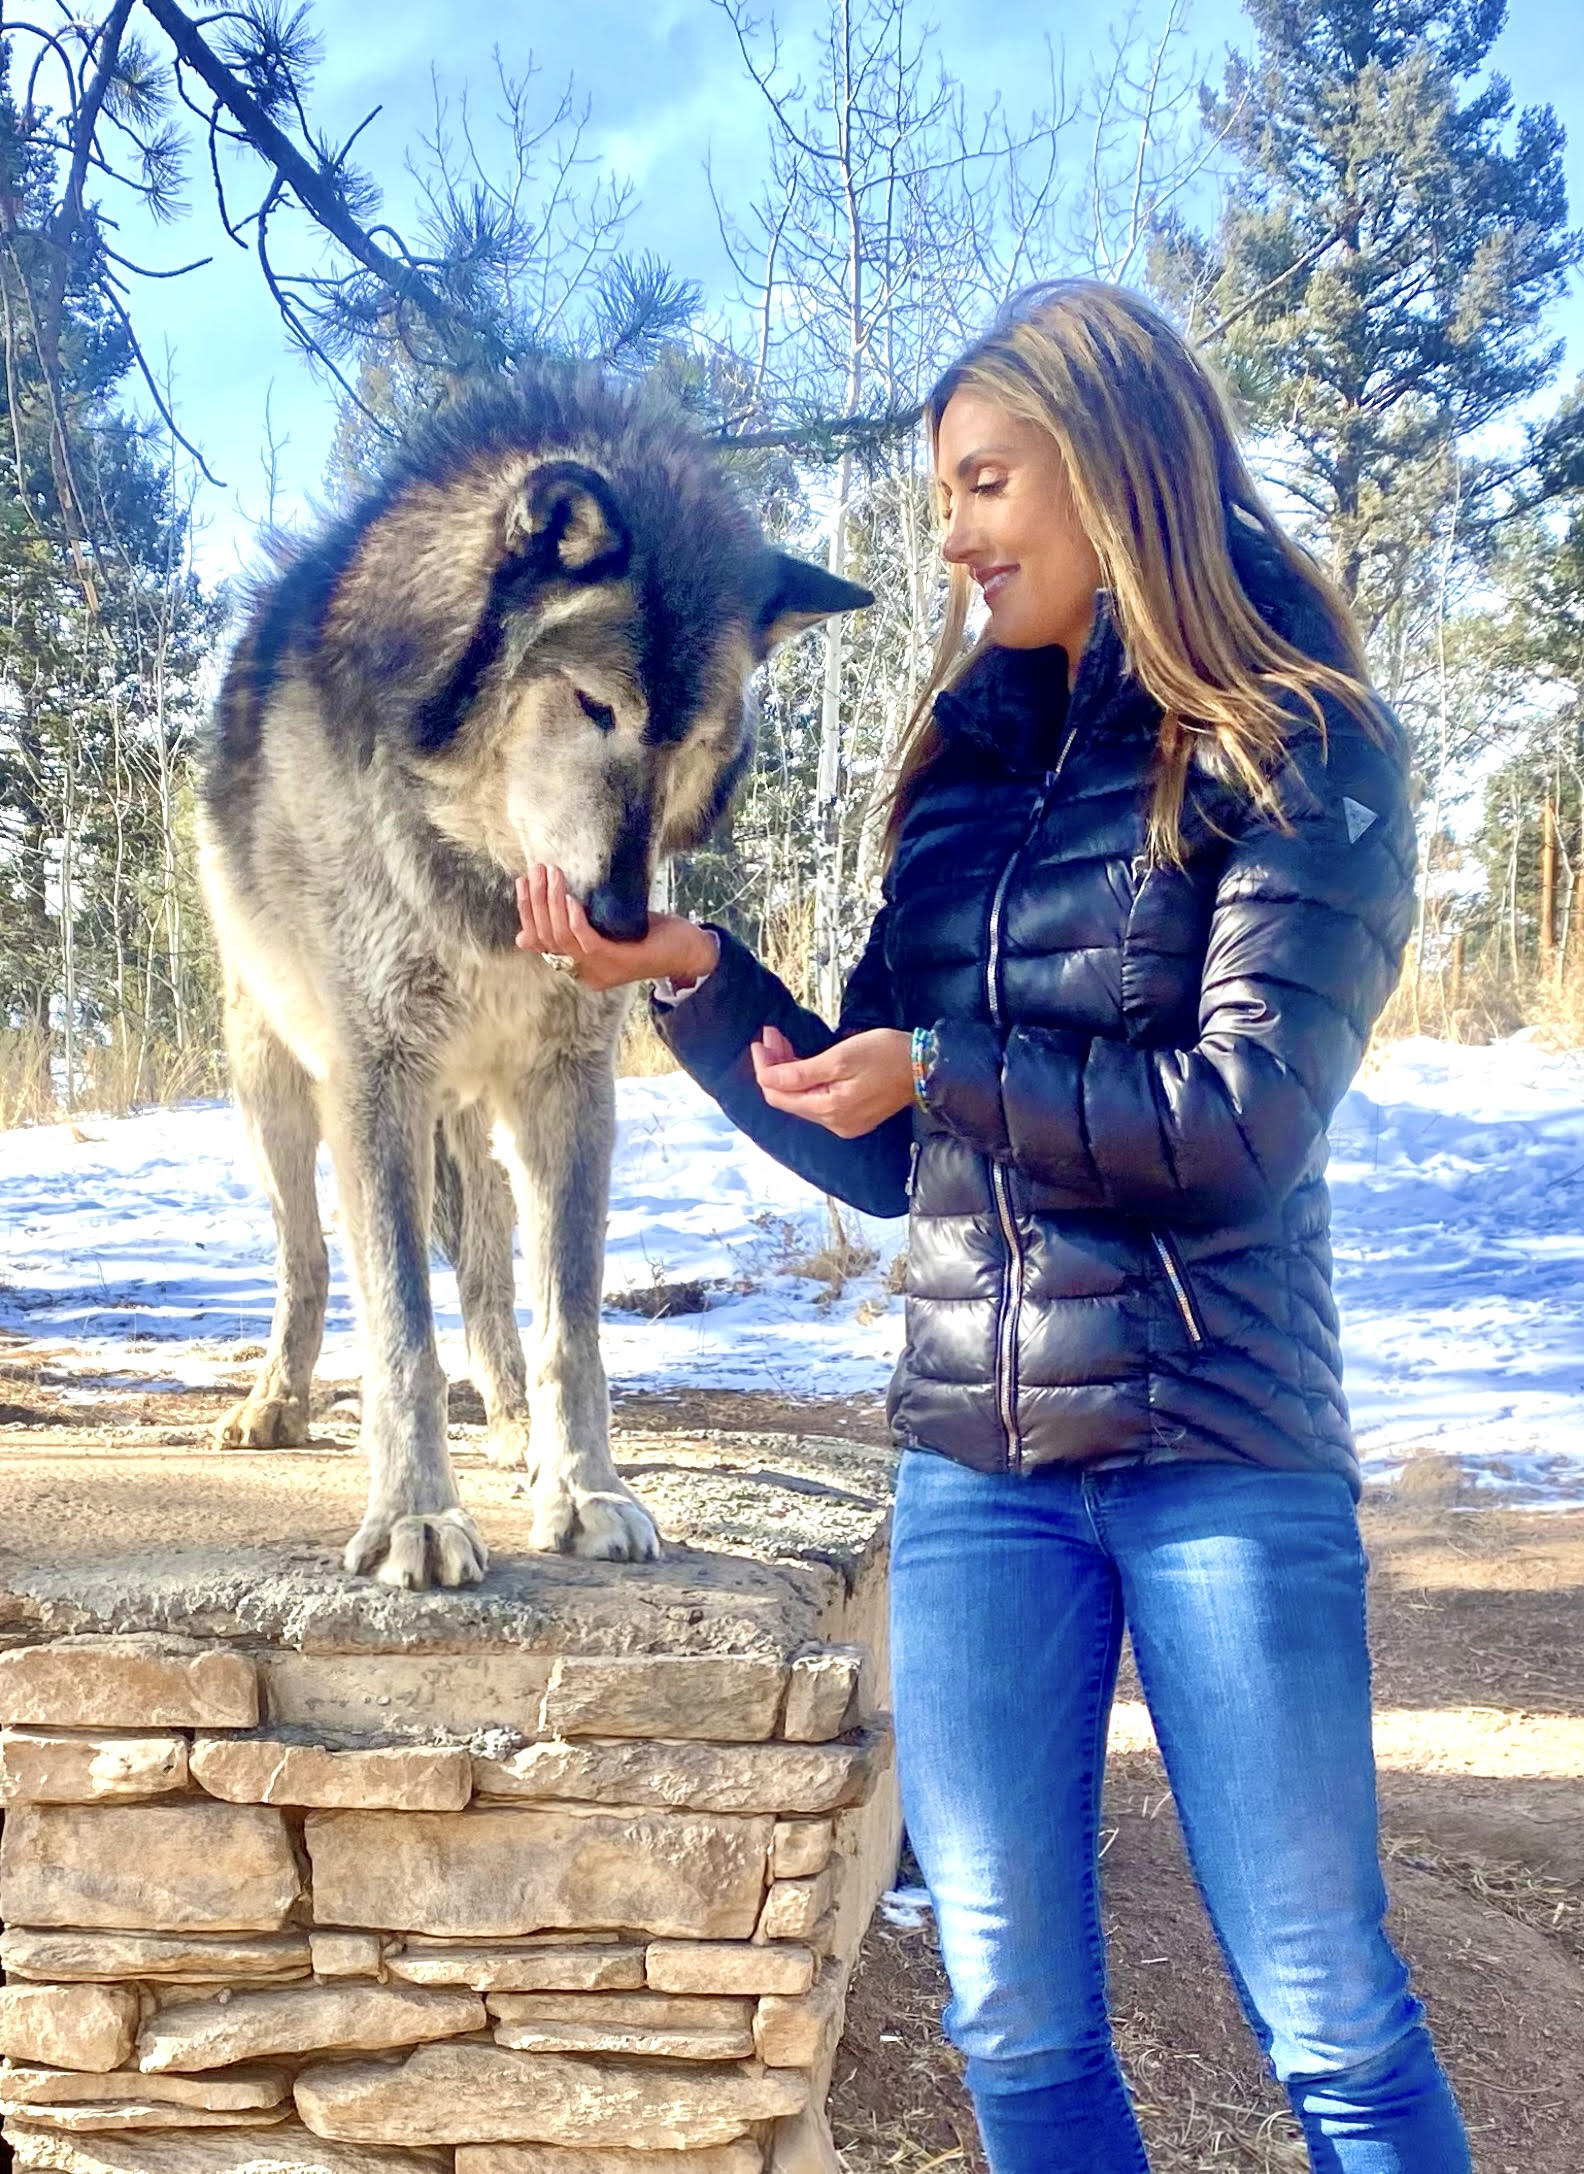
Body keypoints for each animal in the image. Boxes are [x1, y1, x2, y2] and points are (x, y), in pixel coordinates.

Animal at [197, 367, 868, 1590]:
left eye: (695, 735)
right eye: (597, 706)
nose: (622, 921)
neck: (483, 895)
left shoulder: (569, 1086)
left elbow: (571, 1324)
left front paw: (587, 1490)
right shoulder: (377, 1078)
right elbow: (400, 1330)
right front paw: (415, 1516)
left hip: (479, 1123)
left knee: (484, 1275)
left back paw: (513, 1425)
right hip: (279, 1090)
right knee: (308, 1259)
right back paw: (275, 1402)